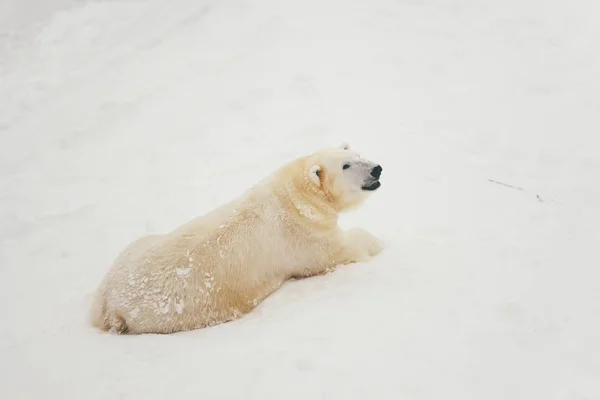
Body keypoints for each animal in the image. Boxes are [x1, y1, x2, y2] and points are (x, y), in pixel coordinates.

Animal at [89, 144, 384, 334]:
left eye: (357, 154)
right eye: (346, 165)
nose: (377, 169)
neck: (293, 197)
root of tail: (108, 305)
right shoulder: (303, 237)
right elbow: (342, 249)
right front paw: (378, 242)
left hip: (133, 248)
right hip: (182, 311)